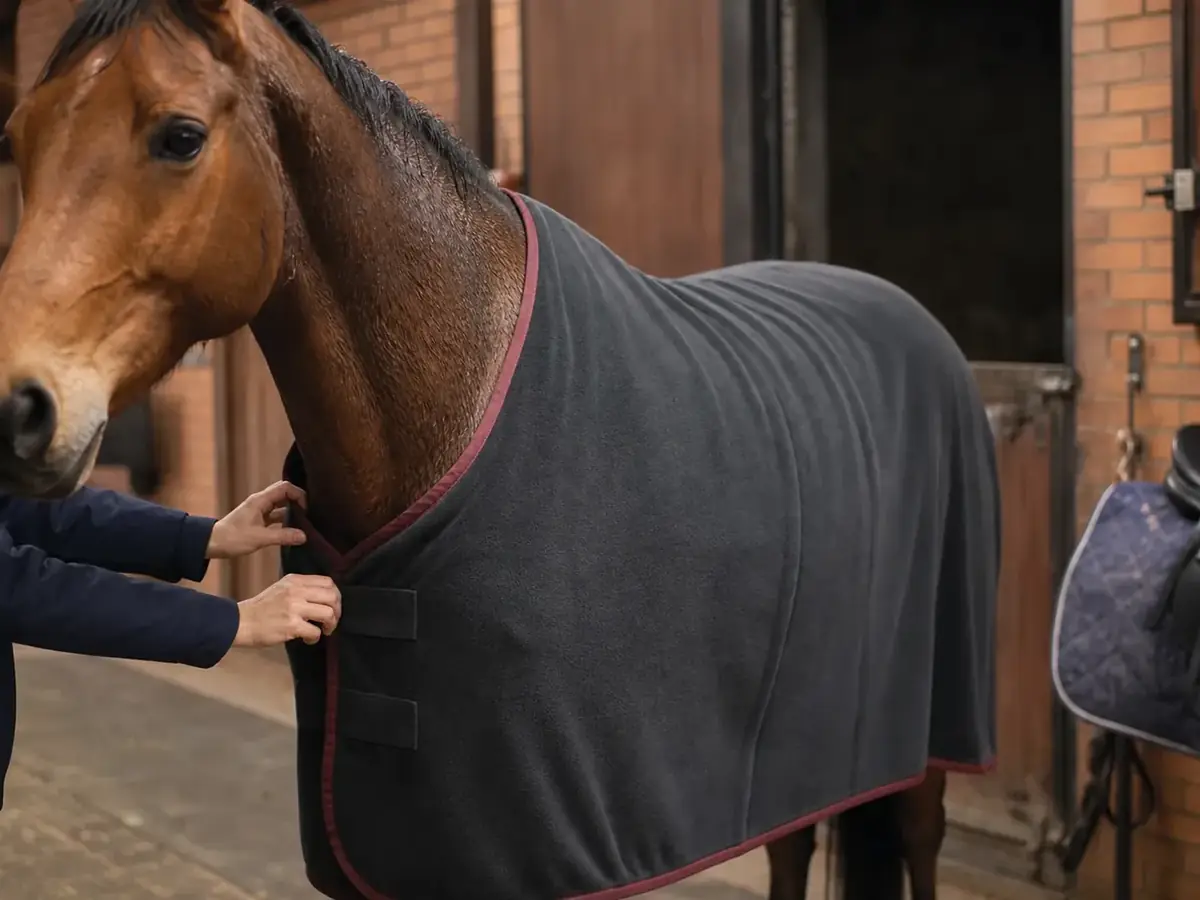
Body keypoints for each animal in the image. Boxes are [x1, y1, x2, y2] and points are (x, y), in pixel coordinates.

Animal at [0, 1, 1000, 898]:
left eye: (179, 136)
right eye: (19, 141)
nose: (17, 405)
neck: (460, 387)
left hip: (926, 739)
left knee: (917, 839)